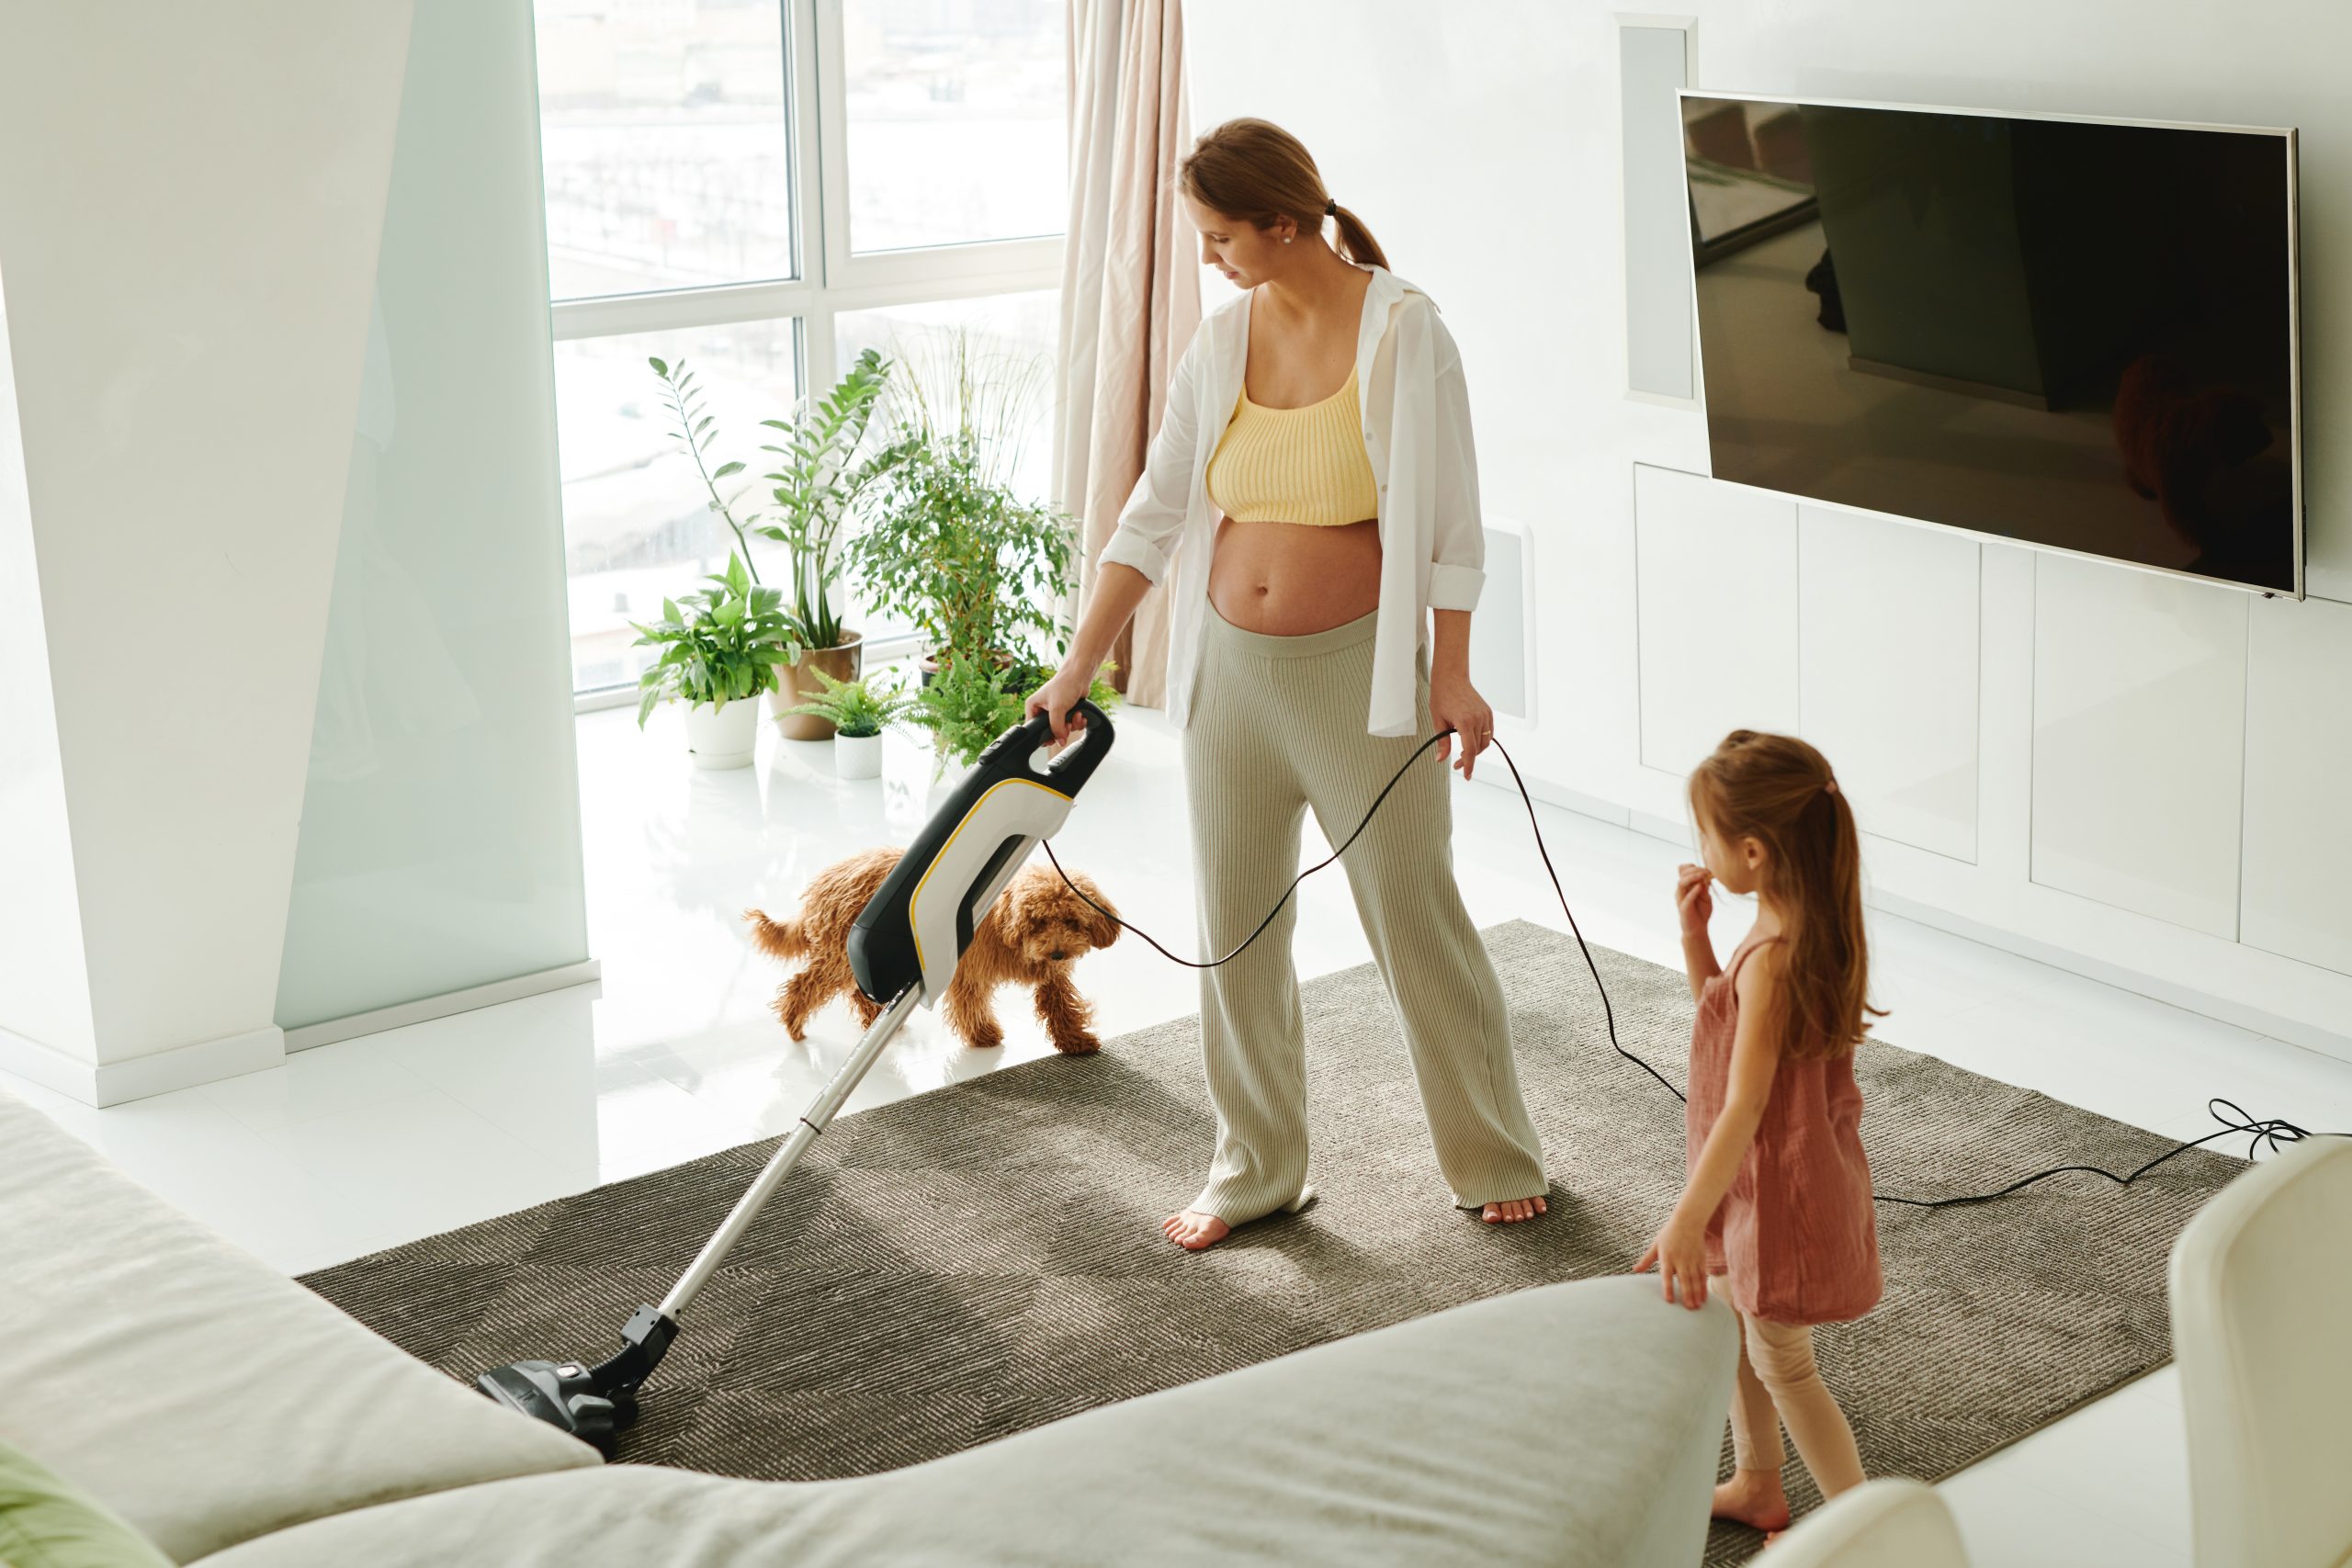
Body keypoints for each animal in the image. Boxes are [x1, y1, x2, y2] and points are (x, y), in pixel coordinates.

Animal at [748, 846, 1124, 1053]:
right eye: (1039, 921)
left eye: (1072, 921)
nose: (1059, 953)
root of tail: (825, 880)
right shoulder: (968, 971)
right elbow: (970, 1005)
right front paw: (983, 1036)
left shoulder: (1052, 978)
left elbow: (1061, 1007)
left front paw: (1076, 1041)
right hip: (841, 956)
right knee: (804, 985)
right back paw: (793, 1023)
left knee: (856, 991)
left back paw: (873, 1018)